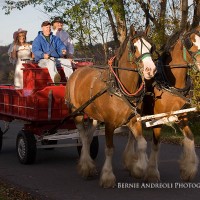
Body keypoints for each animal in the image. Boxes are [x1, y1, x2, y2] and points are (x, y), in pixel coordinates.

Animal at [65, 25, 156, 188]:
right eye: (134, 47)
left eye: (151, 47)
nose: (151, 70)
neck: (119, 87)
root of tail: (77, 71)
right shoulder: (109, 124)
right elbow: (109, 149)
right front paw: (107, 176)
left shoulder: (134, 120)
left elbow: (142, 144)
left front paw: (139, 168)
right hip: (78, 114)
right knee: (83, 136)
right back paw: (86, 167)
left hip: (94, 116)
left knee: (88, 137)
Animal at [141, 24, 200, 181]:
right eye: (190, 43)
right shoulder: (157, 118)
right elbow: (156, 144)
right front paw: (152, 173)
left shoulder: (182, 115)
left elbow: (190, 137)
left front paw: (188, 169)